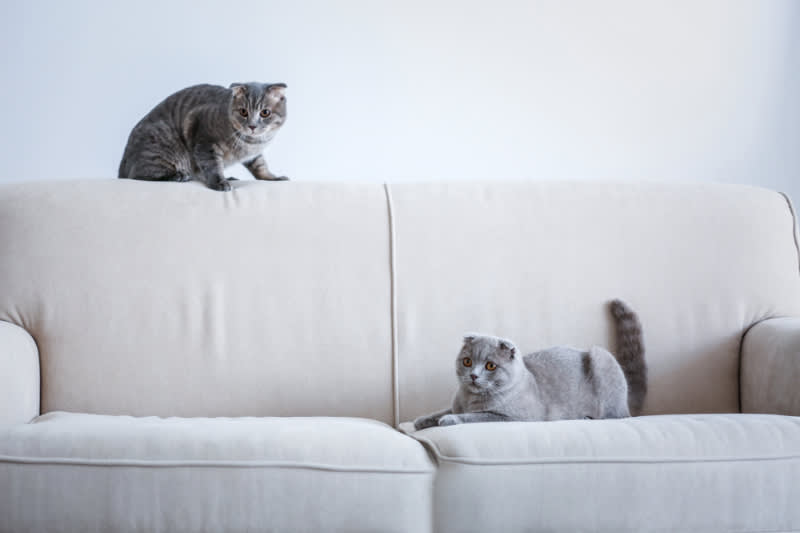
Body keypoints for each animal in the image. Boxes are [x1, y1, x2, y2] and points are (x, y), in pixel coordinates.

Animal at [119, 81, 288, 191]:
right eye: (243, 112)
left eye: (265, 112)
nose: (252, 126)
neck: (252, 142)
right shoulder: (204, 138)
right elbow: (211, 165)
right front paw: (219, 182)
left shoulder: (254, 154)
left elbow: (260, 166)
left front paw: (273, 177)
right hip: (162, 143)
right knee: (139, 174)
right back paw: (179, 176)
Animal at [412, 300, 644, 428]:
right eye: (467, 361)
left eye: (490, 366)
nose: (473, 375)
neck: (470, 399)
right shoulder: (456, 403)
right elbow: (443, 410)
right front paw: (422, 420)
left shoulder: (510, 417)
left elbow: (474, 417)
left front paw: (449, 420)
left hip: (603, 358)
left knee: (615, 416)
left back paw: (587, 418)